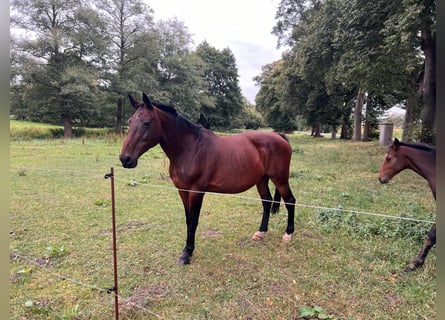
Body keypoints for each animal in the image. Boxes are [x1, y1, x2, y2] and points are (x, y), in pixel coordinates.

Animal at [119, 92, 296, 264]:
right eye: (130, 121)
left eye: (146, 123)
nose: (125, 159)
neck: (190, 148)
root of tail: (279, 136)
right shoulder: (182, 190)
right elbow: (188, 219)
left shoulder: (196, 191)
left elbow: (193, 220)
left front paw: (187, 253)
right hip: (261, 179)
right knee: (267, 201)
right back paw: (260, 232)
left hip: (280, 179)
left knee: (290, 201)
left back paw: (288, 234)